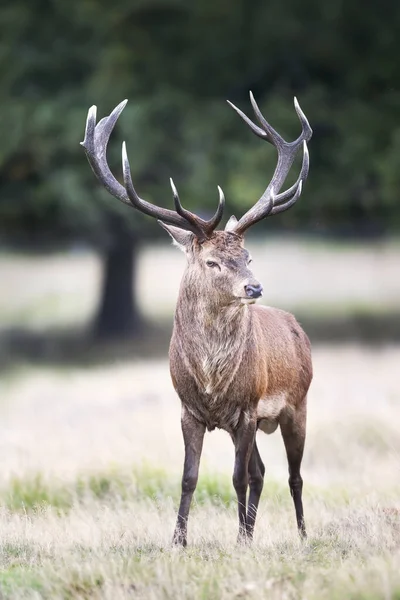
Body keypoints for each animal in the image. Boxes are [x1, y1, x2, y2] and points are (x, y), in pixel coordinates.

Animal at [81, 91, 312, 548]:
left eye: (247, 256)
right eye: (211, 262)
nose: (254, 288)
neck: (211, 383)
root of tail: (298, 329)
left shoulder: (246, 409)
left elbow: (237, 478)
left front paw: (239, 541)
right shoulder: (189, 411)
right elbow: (190, 477)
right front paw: (179, 540)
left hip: (297, 405)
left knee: (292, 476)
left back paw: (300, 535)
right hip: (259, 422)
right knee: (262, 471)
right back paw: (255, 530)